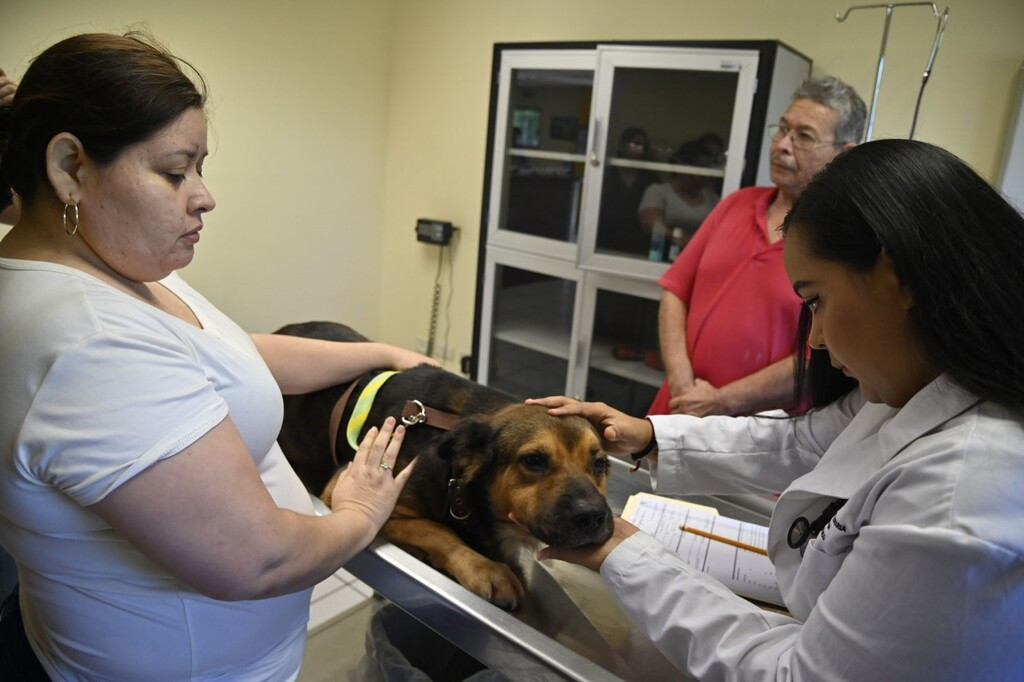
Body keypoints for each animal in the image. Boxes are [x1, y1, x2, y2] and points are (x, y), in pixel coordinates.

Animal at [272, 321, 610, 606]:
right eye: (534, 460)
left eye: (600, 463)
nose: (594, 517)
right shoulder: (353, 497)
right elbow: (437, 530)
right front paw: (486, 569)